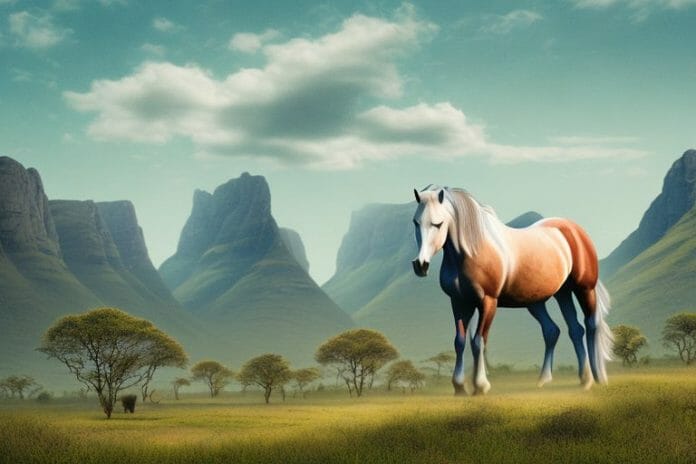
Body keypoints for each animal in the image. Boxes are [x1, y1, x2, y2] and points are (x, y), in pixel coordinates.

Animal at [411, 185, 613, 395]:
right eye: (416, 222)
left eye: (438, 224)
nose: (420, 265)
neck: (472, 251)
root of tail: (575, 230)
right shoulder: (459, 302)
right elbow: (459, 341)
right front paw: (459, 387)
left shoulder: (488, 302)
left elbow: (478, 341)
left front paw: (480, 385)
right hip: (555, 296)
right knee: (564, 330)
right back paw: (563, 379)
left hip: (584, 289)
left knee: (591, 325)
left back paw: (596, 377)